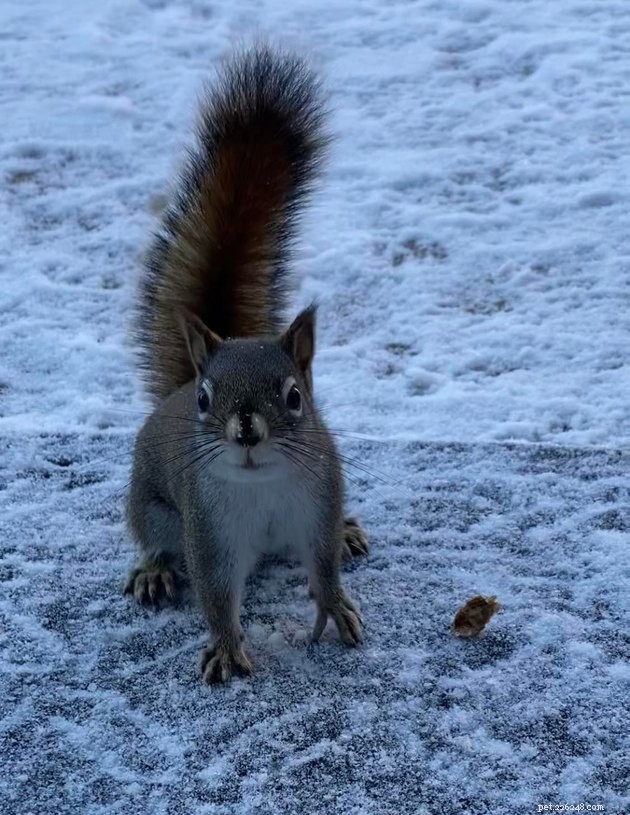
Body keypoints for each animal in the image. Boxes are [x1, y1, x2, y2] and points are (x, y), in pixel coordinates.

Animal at [125, 46, 369, 684]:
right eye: (206, 400)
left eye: (295, 397)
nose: (246, 432)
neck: (263, 489)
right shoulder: (209, 530)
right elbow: (214, 592)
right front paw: (226, 646)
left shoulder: (319, 500)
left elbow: (323, 565)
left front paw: (334, 605)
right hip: (153, 510)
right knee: (156, 541)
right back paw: (154, 570)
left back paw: (351, 532)